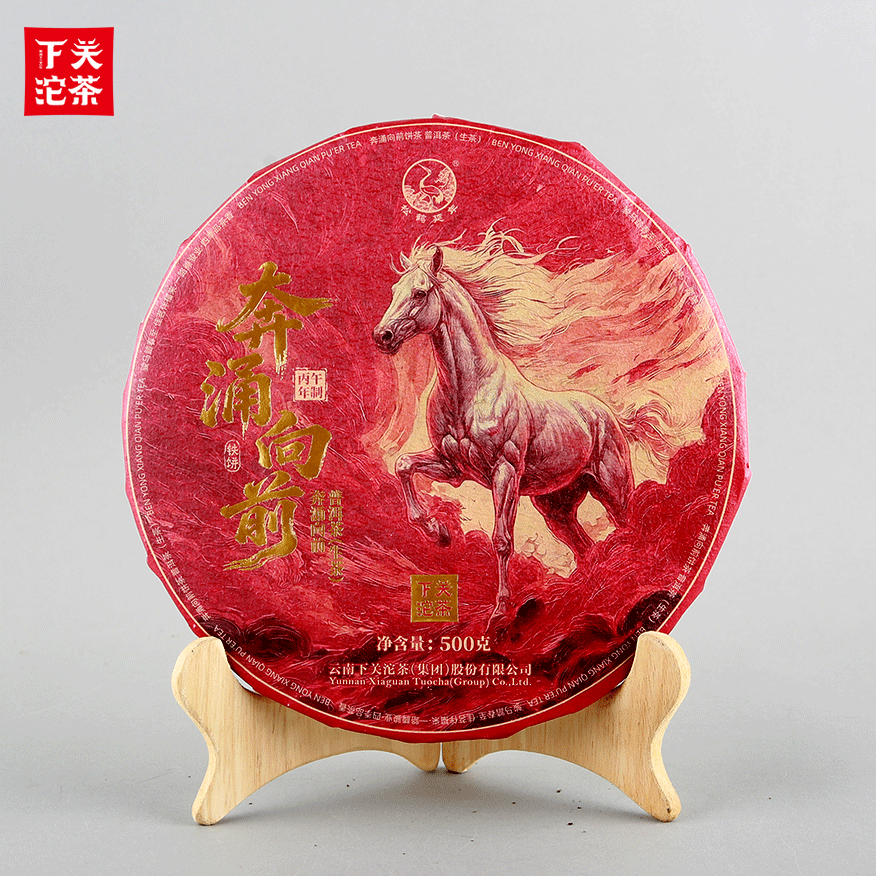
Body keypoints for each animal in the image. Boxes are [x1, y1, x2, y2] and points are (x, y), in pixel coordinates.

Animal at [373, 242, 635, 625]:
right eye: (394, 291)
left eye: (420, 293)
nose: (383, 336)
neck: (468, 391)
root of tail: (607, 414)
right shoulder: (452, 467)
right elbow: (403, 465)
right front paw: (438, 533)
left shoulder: (505, 472)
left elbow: (501, 539)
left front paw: (499, 609)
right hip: (556, 508)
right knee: (586, 548)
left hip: (613, 489)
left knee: (626, 526)